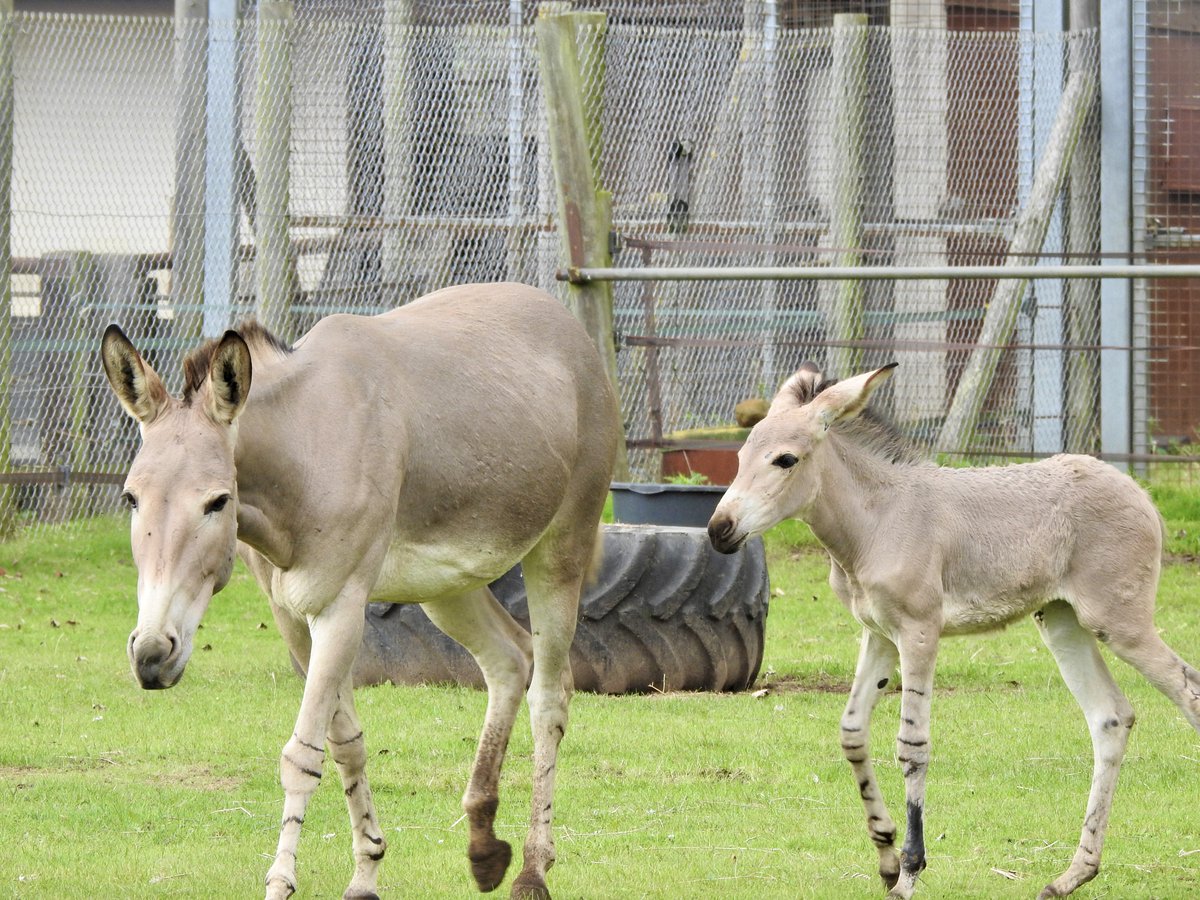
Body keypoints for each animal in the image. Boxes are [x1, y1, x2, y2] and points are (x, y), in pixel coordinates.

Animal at [100, 282, 620, 900]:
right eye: (131, 498)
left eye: (217, 502)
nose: (152, 655)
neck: (304, 450)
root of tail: (563, 322)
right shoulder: (292, 617)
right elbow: (346, 742)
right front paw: (367, 869)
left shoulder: (341, 608)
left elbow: (303, 754)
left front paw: (281, 881)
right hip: (448, 586)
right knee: (510, 660)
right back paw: (484, 848)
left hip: (561, 550)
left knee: (551, 694)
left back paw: (533, 871)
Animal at [707, 362, 1200, 900]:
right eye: (739, 457)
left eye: (785, 460)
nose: (718, 530)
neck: (876, 519)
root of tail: (1139, 492)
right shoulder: (879, 634)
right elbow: (853, 734)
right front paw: (885, 855)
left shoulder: (919, 632)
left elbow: (912, 746)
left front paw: (909, 871)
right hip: (1062, 621)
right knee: (1110, 717)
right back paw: (1072, 874)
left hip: (1120, 624)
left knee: (1189, 692)